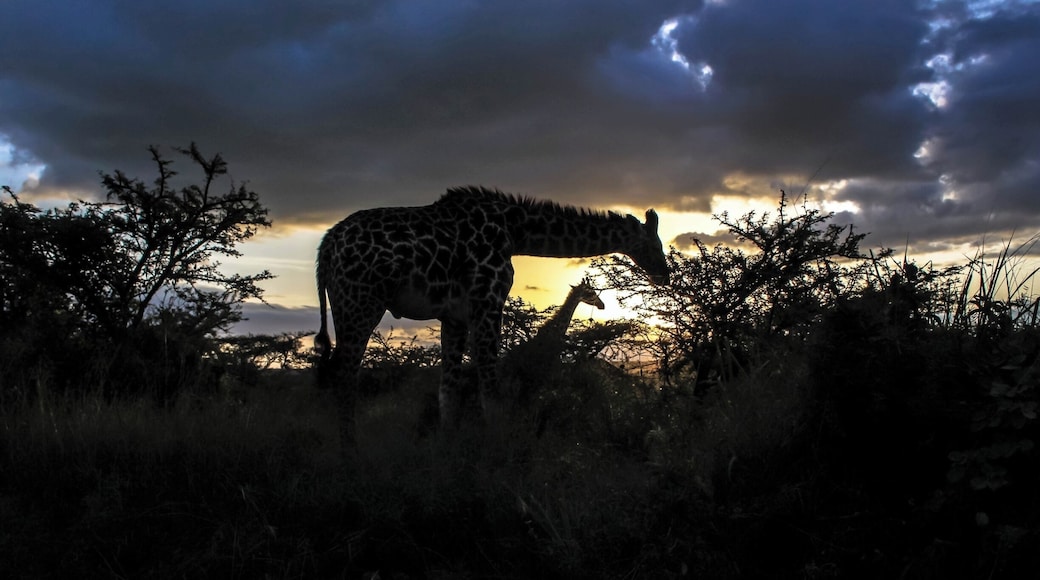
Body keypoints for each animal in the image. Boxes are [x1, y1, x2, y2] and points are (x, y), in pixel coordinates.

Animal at [315, 186, 669, 435]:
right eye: (656, 245)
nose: (664, 276)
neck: (515, 230)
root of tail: (327, 246)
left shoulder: (454, 315)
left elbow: (449, 394)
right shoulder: (488, 301)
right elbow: (491, 393)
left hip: (345, 306)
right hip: (361, 304)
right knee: (343, 380)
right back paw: (350, 461)